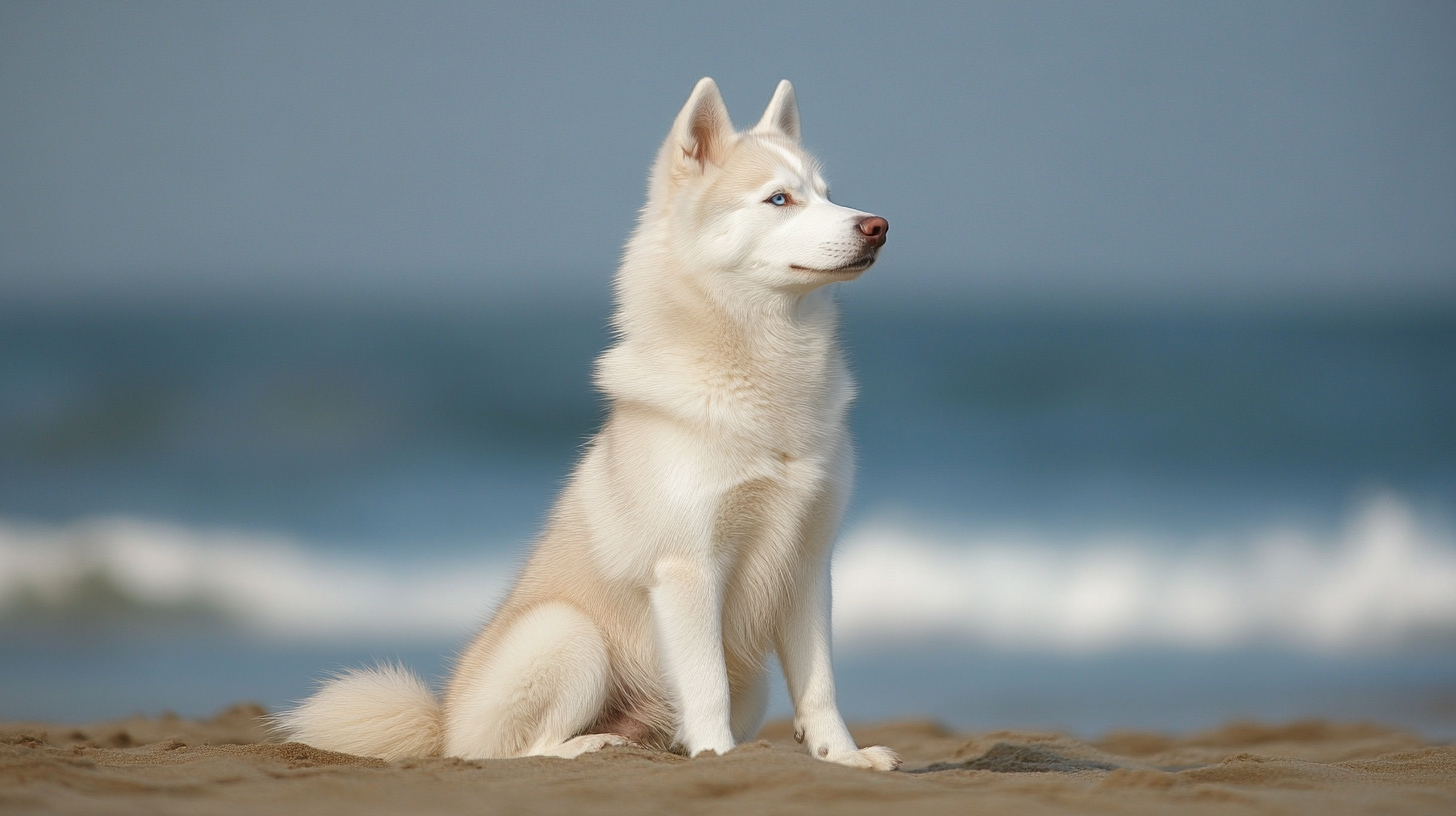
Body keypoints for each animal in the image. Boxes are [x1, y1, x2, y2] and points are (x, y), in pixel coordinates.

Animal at [270, 77, 885, 769]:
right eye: (779, 199)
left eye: (828, 193)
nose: (878, 226)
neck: (766, 377)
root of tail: (442, 721)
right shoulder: (688, 567)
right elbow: (706, 688)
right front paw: (720, 757)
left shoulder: (807, 563)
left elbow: (820, 686)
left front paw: (845, 758)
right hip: (568, 634)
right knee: (515, 749)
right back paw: (588, 745)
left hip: (743, 681)